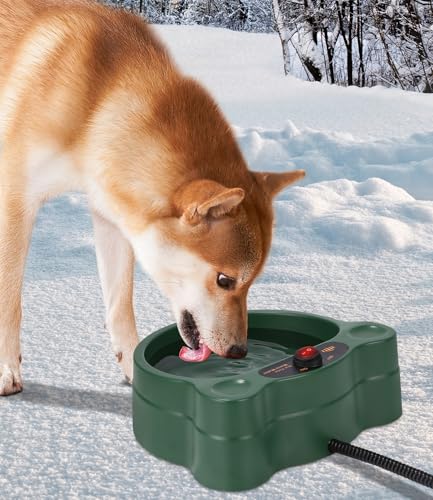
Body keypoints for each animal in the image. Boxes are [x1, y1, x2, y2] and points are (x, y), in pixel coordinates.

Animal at [0, 0, 304, 396]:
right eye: (225, 280)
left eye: (252, 282)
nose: (239, 352)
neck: (98, 102)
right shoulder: (15, 202)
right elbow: (9, 303)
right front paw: (6, 371)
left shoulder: (111, 217)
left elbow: (119, 306)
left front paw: (134, 371)